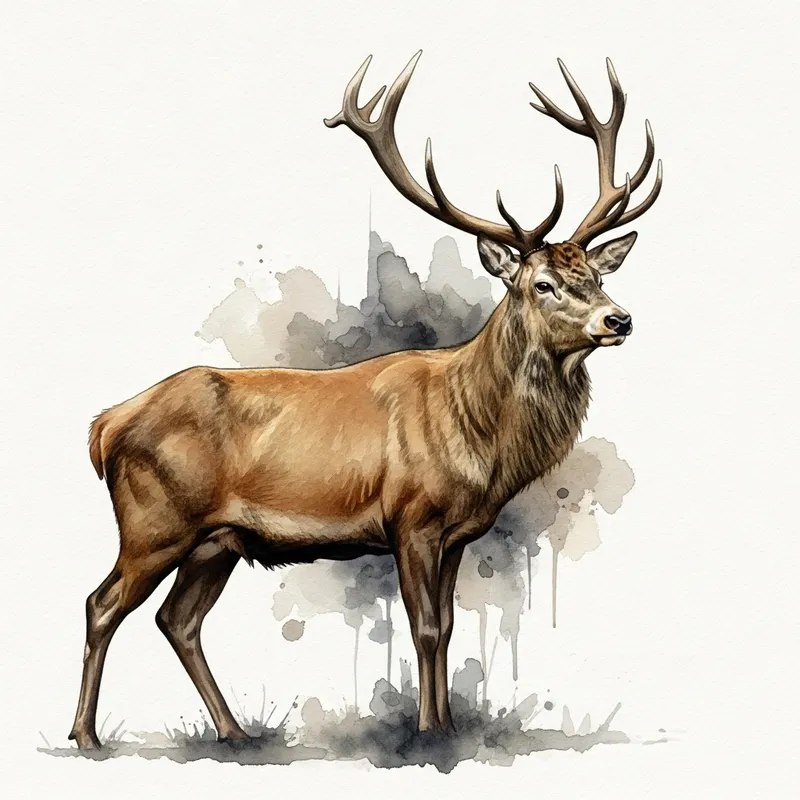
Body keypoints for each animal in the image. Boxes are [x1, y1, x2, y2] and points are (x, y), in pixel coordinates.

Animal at [68, 51, 662, 750]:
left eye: (595, 275)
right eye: (542, 283)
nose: (619, 319)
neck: (479, 436)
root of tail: (105, 426)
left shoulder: (457, 532)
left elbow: (447, 627)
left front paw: (447, 726)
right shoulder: (411, 517)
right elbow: (425, 628)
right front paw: (428, 734)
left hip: (217, 541)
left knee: (177, 620)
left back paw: (234, 732)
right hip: (154, 521)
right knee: (102, 604)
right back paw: (86, 736)